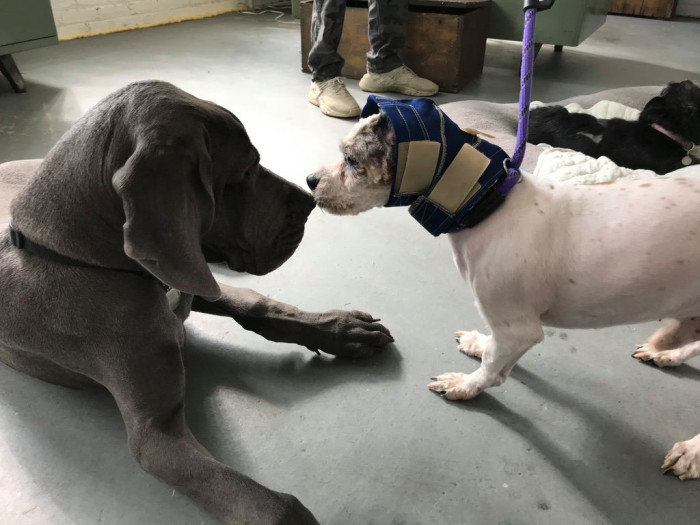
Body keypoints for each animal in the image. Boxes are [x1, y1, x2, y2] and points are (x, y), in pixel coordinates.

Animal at [308, 98, 700, 478]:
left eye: (351, 159)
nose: (310, 179)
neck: (488, 205)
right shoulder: (507, 328)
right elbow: (493, 349)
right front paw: (479, 344)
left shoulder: (518, 329)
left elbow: (493, 368)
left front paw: (465, 386)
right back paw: (666, 353)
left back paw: (692, 452)